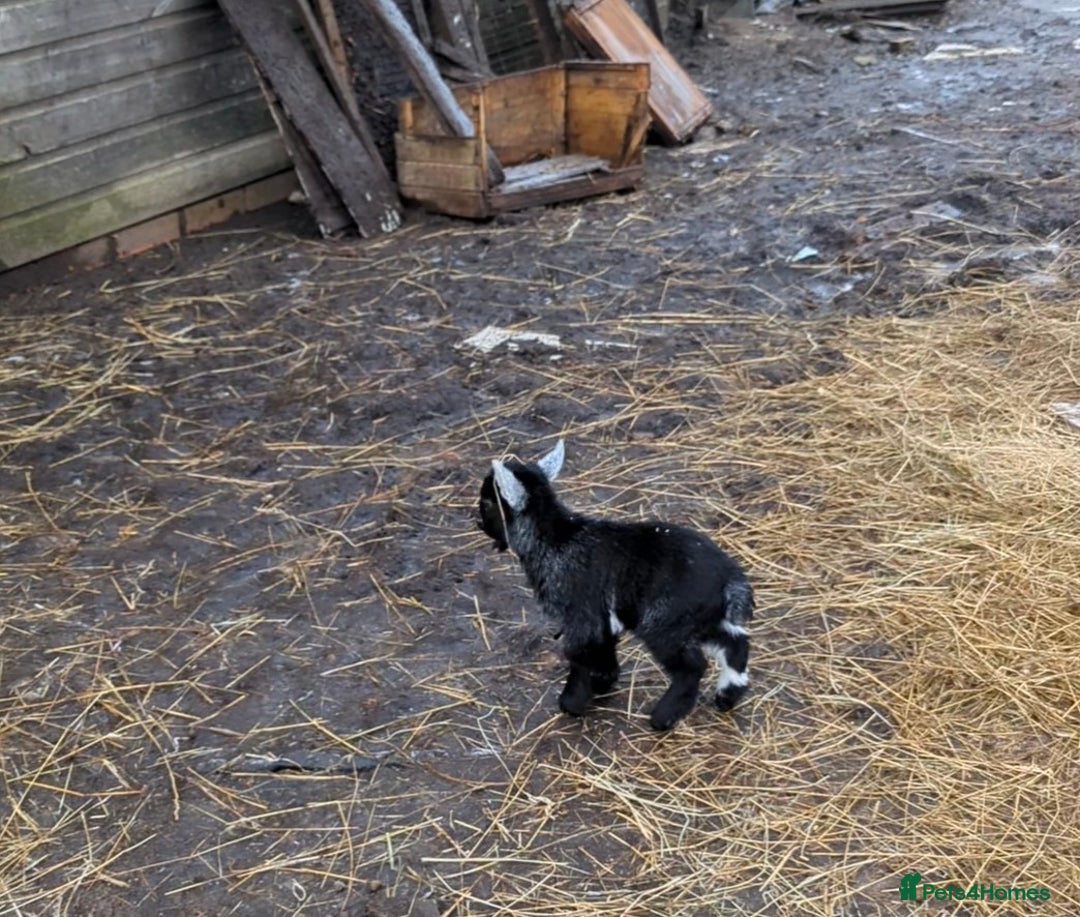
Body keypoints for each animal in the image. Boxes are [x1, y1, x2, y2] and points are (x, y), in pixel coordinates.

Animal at [476, 440, 753, 731]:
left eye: (487, 502)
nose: (478, 521)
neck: (555, 539)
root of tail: (730, 578)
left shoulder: (580, 614)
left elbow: (578, 653)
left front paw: (572, 703)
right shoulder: (601, 616)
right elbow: (603, 647)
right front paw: (603, 683)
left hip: (665, 620)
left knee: (692, 666)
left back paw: (664, 716)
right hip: (701, 617)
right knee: (735, 641)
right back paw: (727, 696)